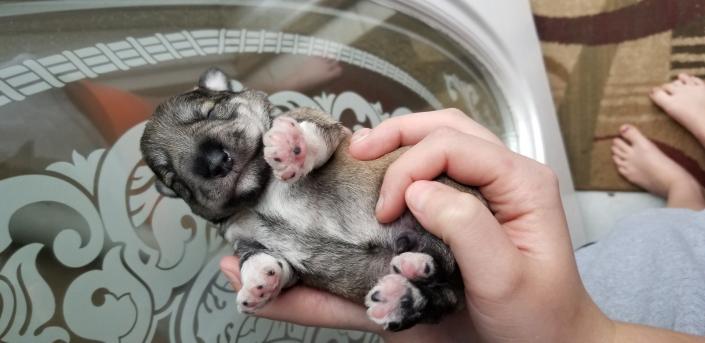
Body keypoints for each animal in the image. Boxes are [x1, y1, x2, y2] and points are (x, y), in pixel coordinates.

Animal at [141, 68, 486, 334]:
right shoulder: (249, 242)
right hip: (440, 288)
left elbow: (312, 135)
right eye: (173, 178)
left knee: (444, 266)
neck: (258, 192)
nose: (213, 162)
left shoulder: (322, 125)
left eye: (211, 111)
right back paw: (399, 295)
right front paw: (258, 283)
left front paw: (290, 145)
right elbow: (258, 259)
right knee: (436, 294)